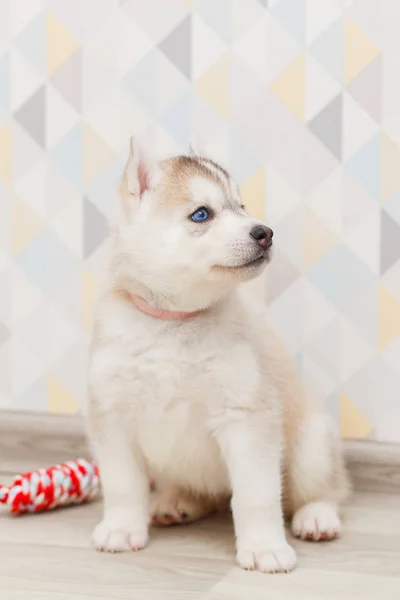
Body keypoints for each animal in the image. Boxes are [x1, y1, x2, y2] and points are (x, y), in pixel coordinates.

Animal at [88, 139, 350, 572]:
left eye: (241, 206)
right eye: (201, 214)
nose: (265, 232)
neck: (173, 324)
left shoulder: (246, 417)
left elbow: (256, 495)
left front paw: (264, 547)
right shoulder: (111, 415)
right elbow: (123, 484)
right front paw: (122, 529)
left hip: (311, 448)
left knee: (325, 489)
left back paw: (317, 515)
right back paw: (180, 500)